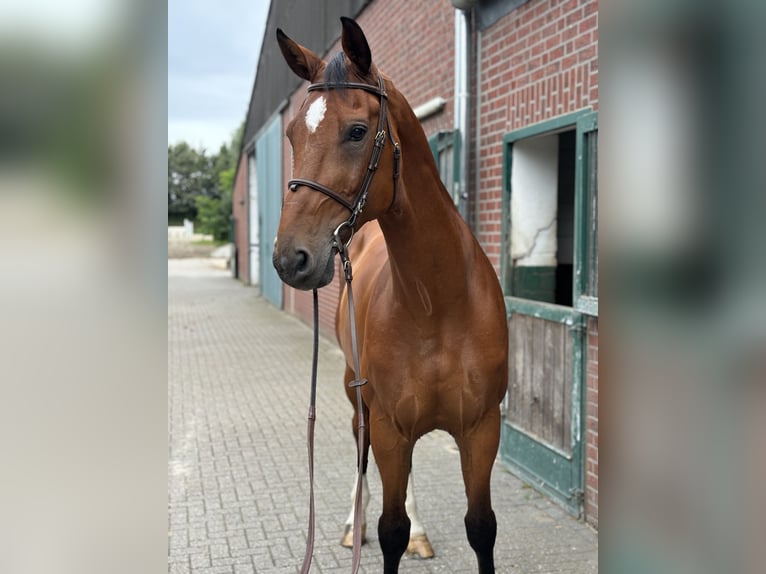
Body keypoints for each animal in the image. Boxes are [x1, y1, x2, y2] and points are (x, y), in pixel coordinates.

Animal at [274, 18, 510, 574]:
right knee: (361, 459)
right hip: (356, 395)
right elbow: (388, 530)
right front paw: (370, 528)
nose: (290, 258)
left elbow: (481, 528)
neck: (437, 303)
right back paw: (349, 525)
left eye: (357, 131)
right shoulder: (388, 425)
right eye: (293, 135)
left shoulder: (482, 429)